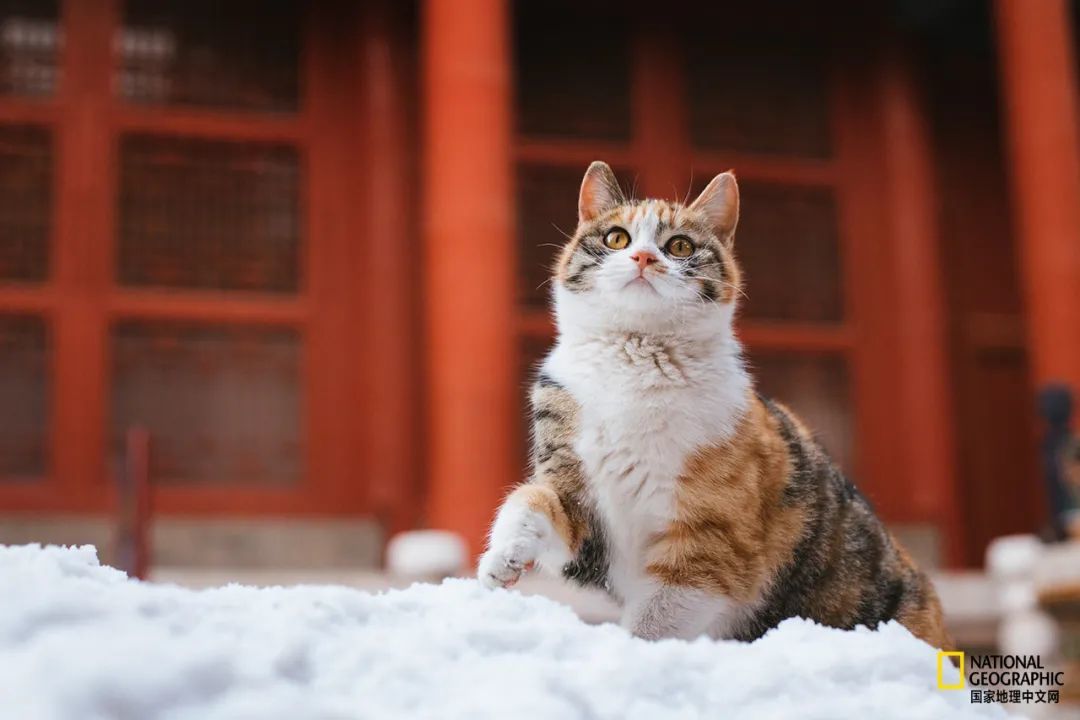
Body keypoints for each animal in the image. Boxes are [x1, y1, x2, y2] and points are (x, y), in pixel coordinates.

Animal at [477, 161, 950, 647]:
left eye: (679, 246)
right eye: (617, 238)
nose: (644, 258)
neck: (633, 365)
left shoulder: (710, 548)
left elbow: (656, 622)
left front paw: (631, 653)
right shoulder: (583, 506)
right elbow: (531, 498)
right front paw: (503, 558)